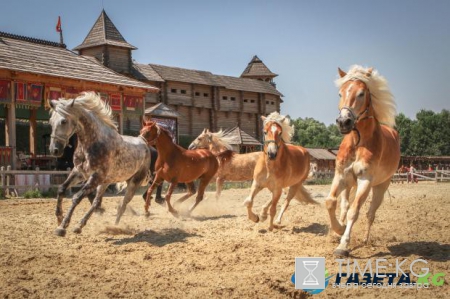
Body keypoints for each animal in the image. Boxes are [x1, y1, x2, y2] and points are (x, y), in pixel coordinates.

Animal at [48, 91, 151, 237]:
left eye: (64, 121)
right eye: (51, 121)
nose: (54, 150)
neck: (93, 143)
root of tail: (144, 142)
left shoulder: (96, 176)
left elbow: (76, 197)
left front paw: (62, 227)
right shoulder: (80, 172)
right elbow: (62, 189)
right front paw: (59, 218)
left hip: (133, 183)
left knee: (123, 204)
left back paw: (115, 226)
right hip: (105, 182)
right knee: (97, 202)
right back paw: (80, 226)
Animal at [326, 65, 400, 258]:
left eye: (361, 93)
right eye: (340, 93)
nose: (344, 121)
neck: (357, 142)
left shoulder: (365, 181)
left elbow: (354, 212)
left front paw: (343, 245)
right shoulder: (340, 176)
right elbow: (331, 202)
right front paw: (338, 230)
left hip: (380, 187)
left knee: (370, 213)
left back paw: (366, 240)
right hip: (349, 185)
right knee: (344, 205)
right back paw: (336, 232)